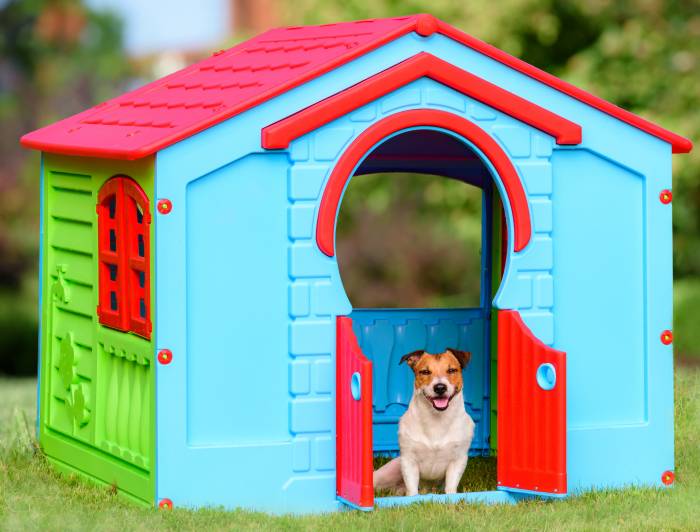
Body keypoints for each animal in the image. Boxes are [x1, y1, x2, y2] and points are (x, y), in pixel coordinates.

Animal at [372, 350, 476, 494]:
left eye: (451, 370)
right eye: (425, 372)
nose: (440, 387)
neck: (437, 418)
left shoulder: (458, 460)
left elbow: (450, 487)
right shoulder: (409, 460)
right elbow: (412, 489)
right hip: (389, 471)